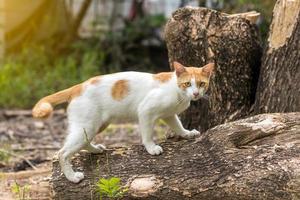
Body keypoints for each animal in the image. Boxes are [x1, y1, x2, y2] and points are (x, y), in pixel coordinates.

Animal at [32, 61, 213, 183]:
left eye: (201, 84)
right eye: (187, 84)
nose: (196, 94)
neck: (177, 91)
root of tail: (77, 87)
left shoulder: (169, 115)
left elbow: (178, 126)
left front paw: (187, 134)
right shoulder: (145, 111)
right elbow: (147, 134)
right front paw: (151, 148)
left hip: (95, 125)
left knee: (84, 143)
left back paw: (95, 149)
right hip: (87, 126)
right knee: (62, 153)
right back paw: (72, 177)